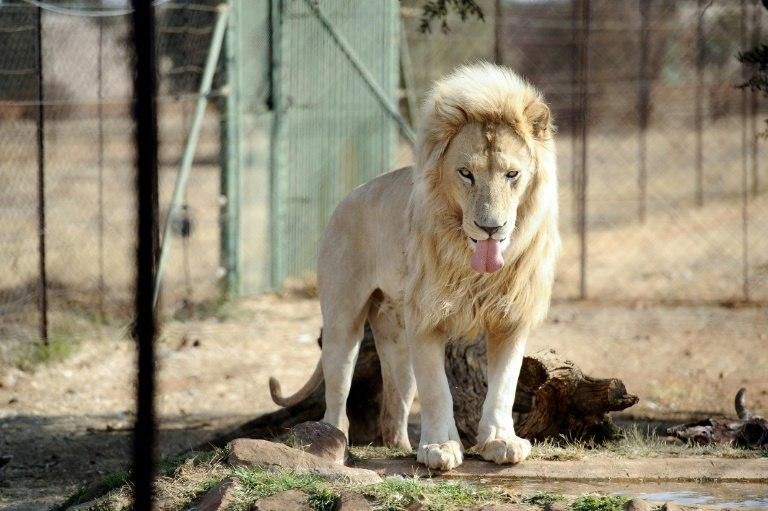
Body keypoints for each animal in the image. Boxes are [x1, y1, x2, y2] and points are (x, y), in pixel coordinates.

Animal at [269, 63, 560, 471]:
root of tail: (349, 196)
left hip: (395, 335)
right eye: (466, 173)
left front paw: (500, 441)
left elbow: (503, 386)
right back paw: (332, 442)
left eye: (512, 174)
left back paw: (400, 444)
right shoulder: (427, 316)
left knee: (396, 404)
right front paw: (440, 447)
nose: (490, 227)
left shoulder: (510, 317)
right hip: (344, 321)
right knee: (338, 393)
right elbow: (438, 390)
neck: (472, 264)